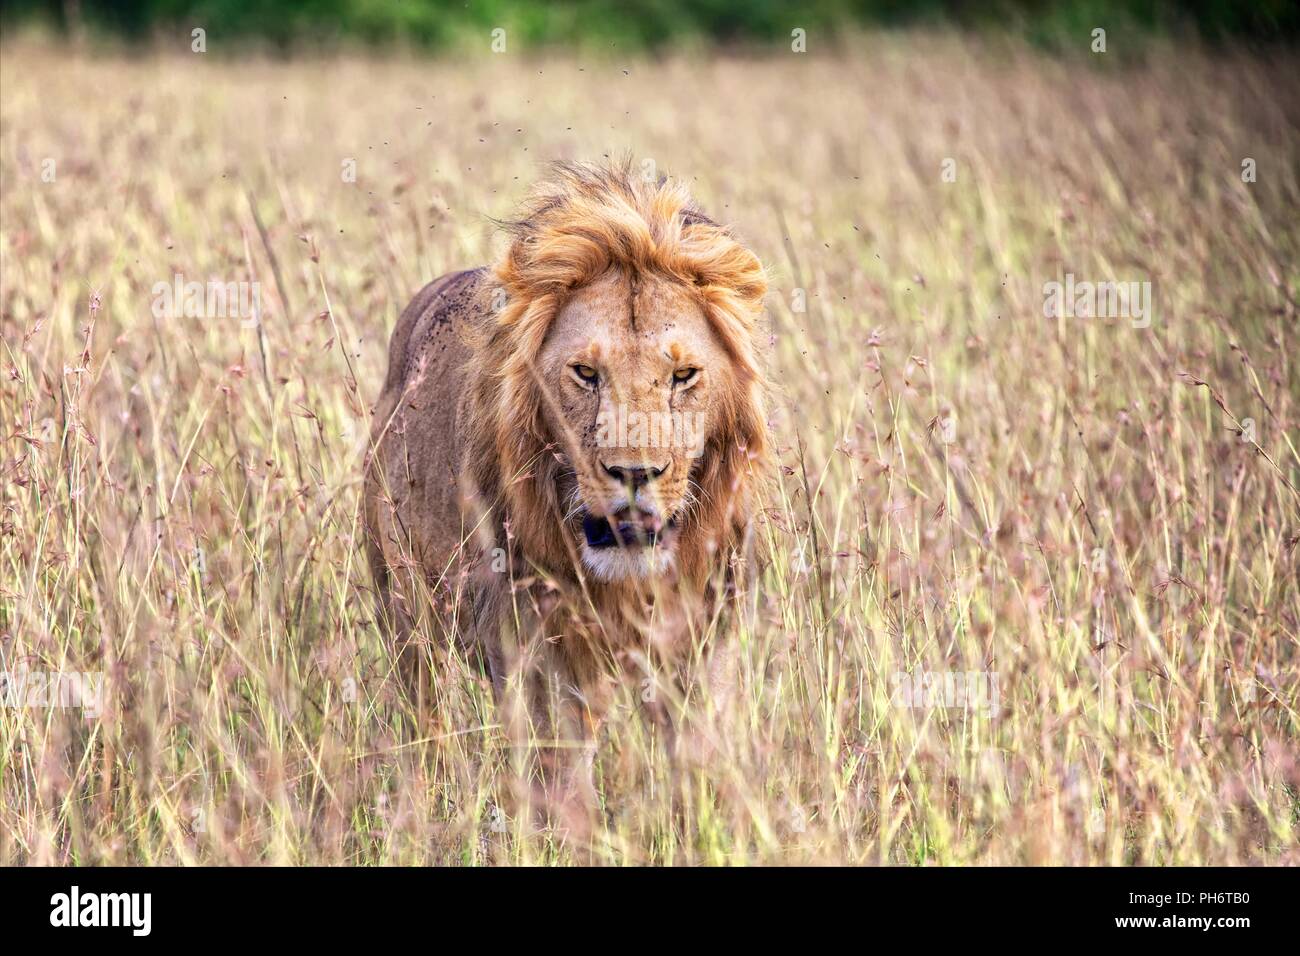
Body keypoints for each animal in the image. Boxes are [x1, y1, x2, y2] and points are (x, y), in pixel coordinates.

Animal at [362, 160, 770, 831]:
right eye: (585, 373)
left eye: (683, 376)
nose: (634, 473)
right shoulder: (535, 655)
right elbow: (564, 792)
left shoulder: (704, 641)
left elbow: (700, 770)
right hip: (407, 623)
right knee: (425, 728)